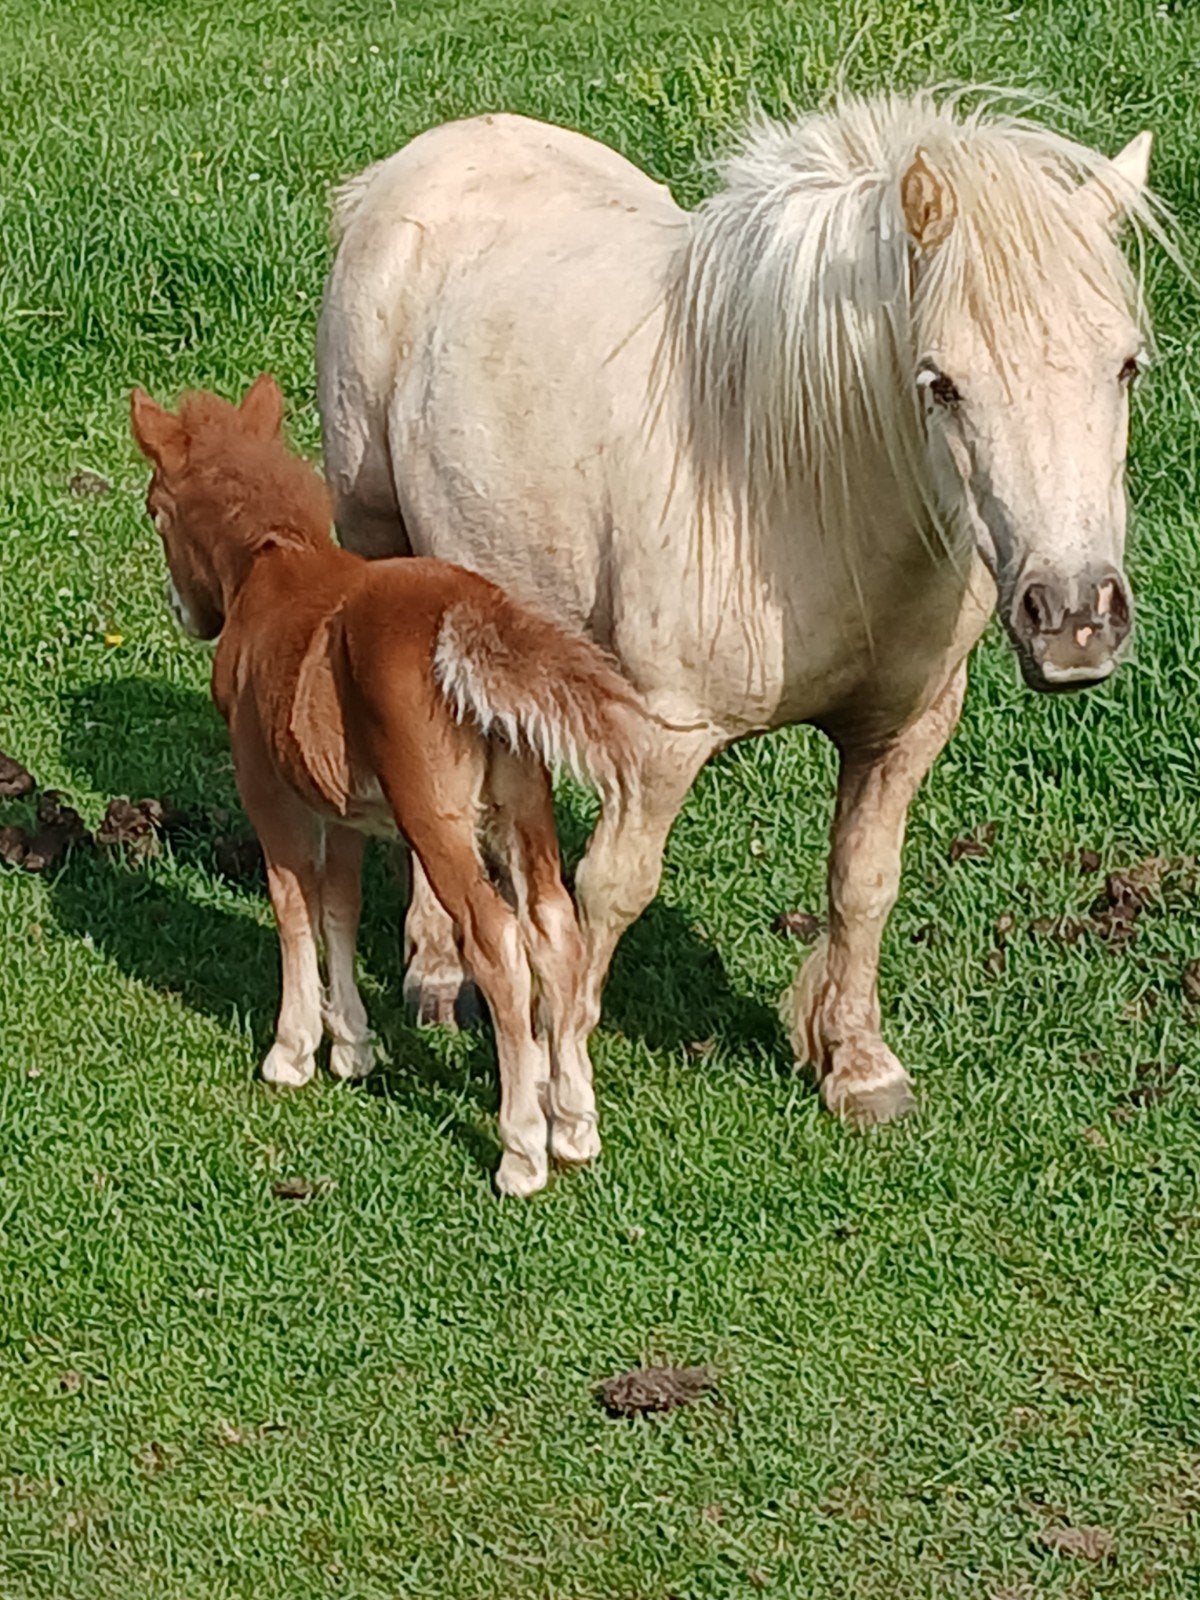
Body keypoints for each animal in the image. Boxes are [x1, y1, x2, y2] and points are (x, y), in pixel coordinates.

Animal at [130, 375, 645, 1196]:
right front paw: (353, 1046)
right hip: (523, 810)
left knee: (497, 940)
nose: (185, 613)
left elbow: (292, 906)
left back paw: (522, 1150)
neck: (277, 565)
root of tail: (473, 617)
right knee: (555, 929)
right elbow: (340, 906)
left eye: (155, 510)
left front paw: (293, 1050)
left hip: (438, 823)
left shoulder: (269, 791)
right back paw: (573, 1124)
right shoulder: (343, 809)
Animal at [317, 90, 1157, 1133]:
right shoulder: (660, 741)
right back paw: (437, 970)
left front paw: (859, 1067)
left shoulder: (904, 732)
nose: (1075, 617)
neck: (803, 486)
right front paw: (557, 1094)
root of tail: (415, 163)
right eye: (942, 383)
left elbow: (864, 884)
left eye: (1125, 366)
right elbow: (613, 893)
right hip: (377, 541)